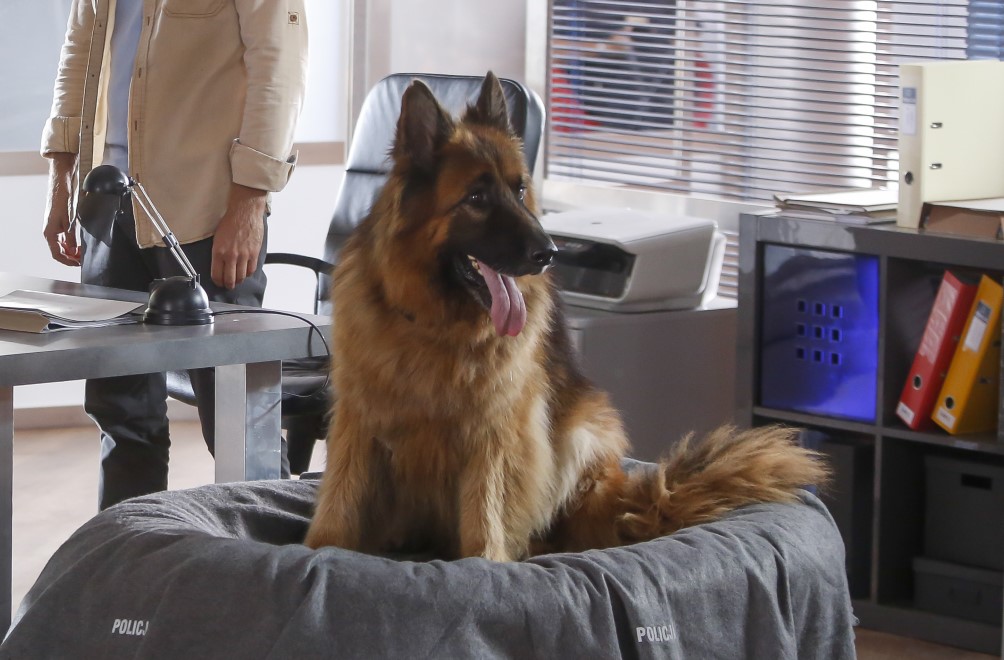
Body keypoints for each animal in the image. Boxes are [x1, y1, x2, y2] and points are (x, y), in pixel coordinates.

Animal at [304, 73, 828, 561]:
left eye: (519, 190)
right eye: (476, 199)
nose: (550, 253)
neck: (434, 323)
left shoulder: (495, 428)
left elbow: (485, 512)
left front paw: (485, 563)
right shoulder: (359, 421)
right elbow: (340, 500)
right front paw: (320, 550)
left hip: (579, 437)